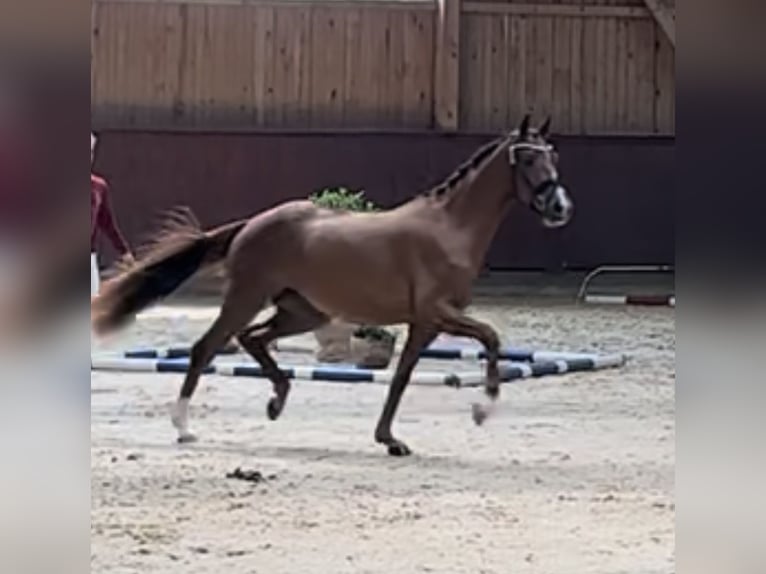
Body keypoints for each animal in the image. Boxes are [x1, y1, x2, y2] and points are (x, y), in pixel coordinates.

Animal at [91, 114, 574, 456]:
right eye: (529, 159)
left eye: (553, 156)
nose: (559, 207)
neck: (448, 229)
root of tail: (253, 223)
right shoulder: (437, 314)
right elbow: (490, 337)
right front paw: (481, 409)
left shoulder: (426, 323)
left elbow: (402, 377)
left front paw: (390, 440)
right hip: (248, 297)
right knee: (206, 347)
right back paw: (184, 427)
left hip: (303, 311)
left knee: (252, 338)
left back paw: (278, 400)